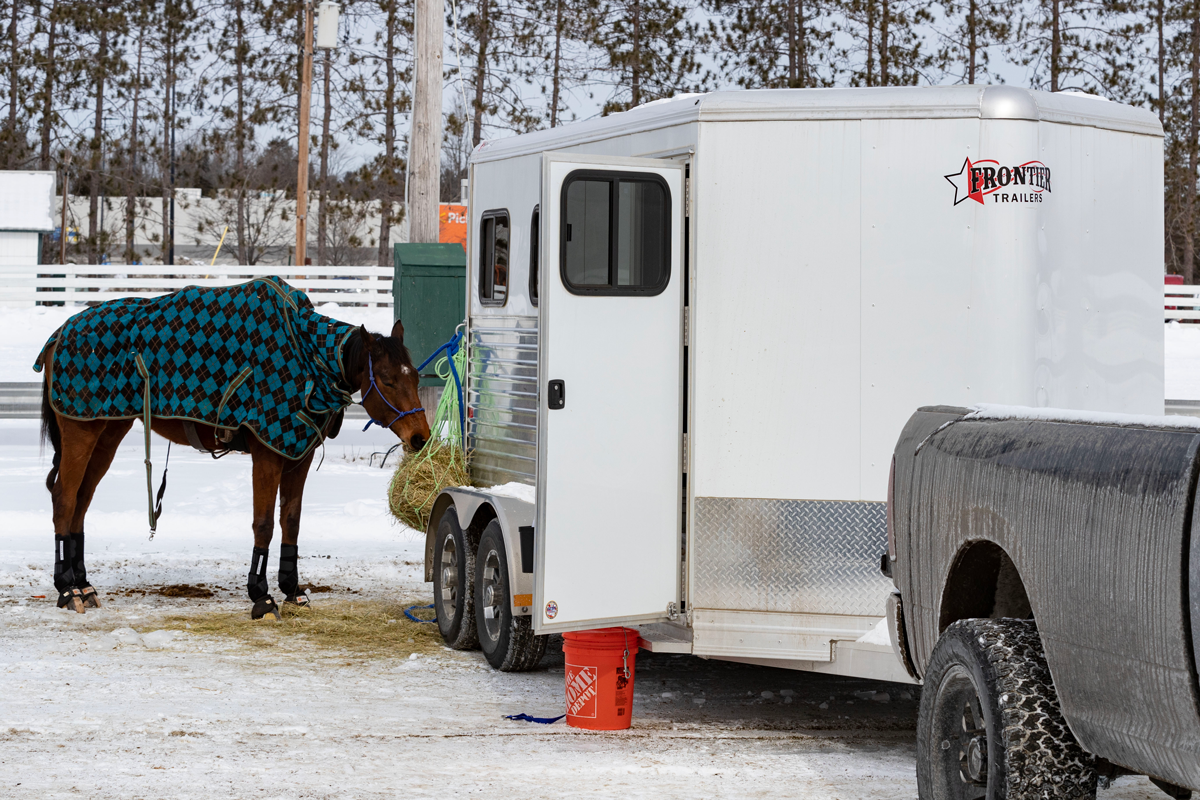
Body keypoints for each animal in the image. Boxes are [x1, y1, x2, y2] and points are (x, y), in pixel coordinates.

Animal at [39, 319, 429, 618]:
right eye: (388, 379)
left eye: (414, 376)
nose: (420, 437)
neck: (307, 360)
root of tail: (60, 333)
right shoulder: (267, 454)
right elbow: (264, 525)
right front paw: (261, 595)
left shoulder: (297, 457)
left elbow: (291, 521)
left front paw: (292, 588)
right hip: (81, 434)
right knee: (64, 499)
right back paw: (65, 589)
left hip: (107, 432)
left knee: (81, 502)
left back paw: (82, 584)